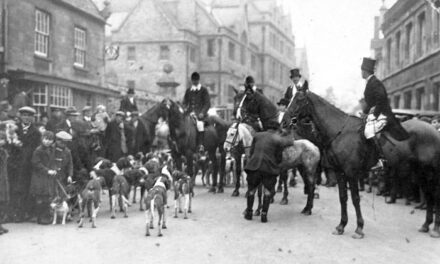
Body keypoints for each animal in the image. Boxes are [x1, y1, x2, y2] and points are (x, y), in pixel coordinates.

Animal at [288, 90, 440, 239]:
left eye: (299, 99)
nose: (286, 120)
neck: (340, 132)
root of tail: (434, 132)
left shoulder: (351, 173)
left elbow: (355, 199)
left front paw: (359, 228)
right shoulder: (340, 172)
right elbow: (343, 197)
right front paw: (341, 226)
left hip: (430, 172)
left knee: (434, 195)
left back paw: (435, 229)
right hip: (420, 172)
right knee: (429, 195)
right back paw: (426, 225)